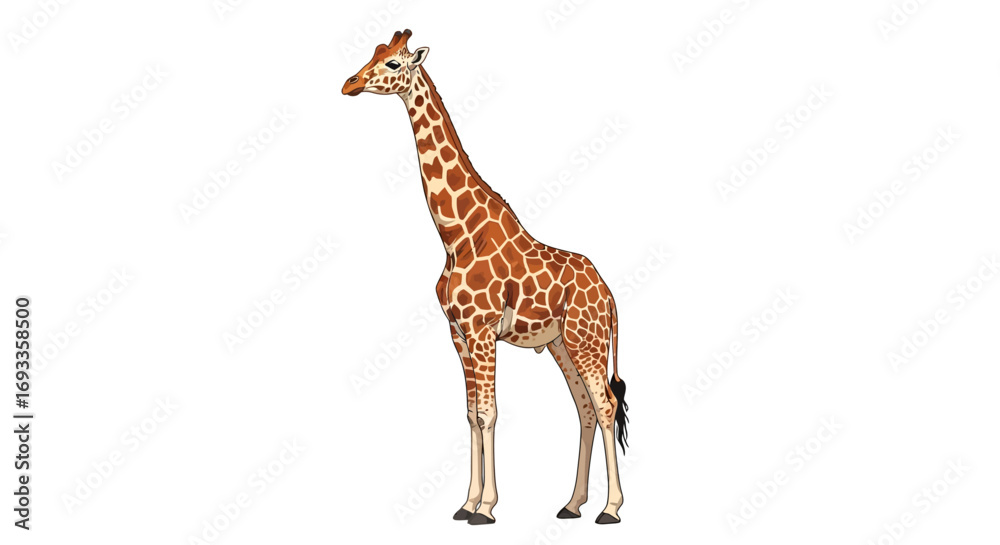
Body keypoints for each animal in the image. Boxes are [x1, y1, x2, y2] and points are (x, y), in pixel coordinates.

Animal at [343, 30, 629, 525]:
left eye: (394, 63)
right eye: (374, 54)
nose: (350, 83)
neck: (456, 235)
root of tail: (609, 295)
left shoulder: (481, 330)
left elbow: (489, 413)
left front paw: (487, 508)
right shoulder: (458, 333)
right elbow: (470, 412)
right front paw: (466, 503)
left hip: (586, 341)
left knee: (606, 405)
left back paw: (610, 509)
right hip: (562, 343)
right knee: (586, 409)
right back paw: (572, 504)